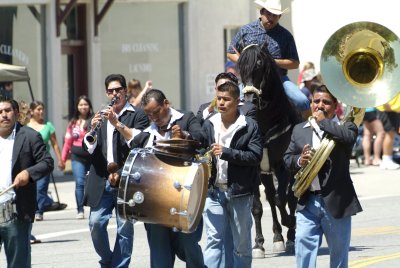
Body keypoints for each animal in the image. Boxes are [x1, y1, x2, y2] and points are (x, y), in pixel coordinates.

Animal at [238, 44, 300, 258]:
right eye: (240, 65)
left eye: (259, 64)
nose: (250, 97)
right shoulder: (255, 168)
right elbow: (257, 207)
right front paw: (258, 245)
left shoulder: (282, 165)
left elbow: (284, 199)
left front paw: (290, 223)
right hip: (265, 173)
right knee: (272, 198)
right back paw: (277, 237)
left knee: (289, 198)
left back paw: (289, 236)